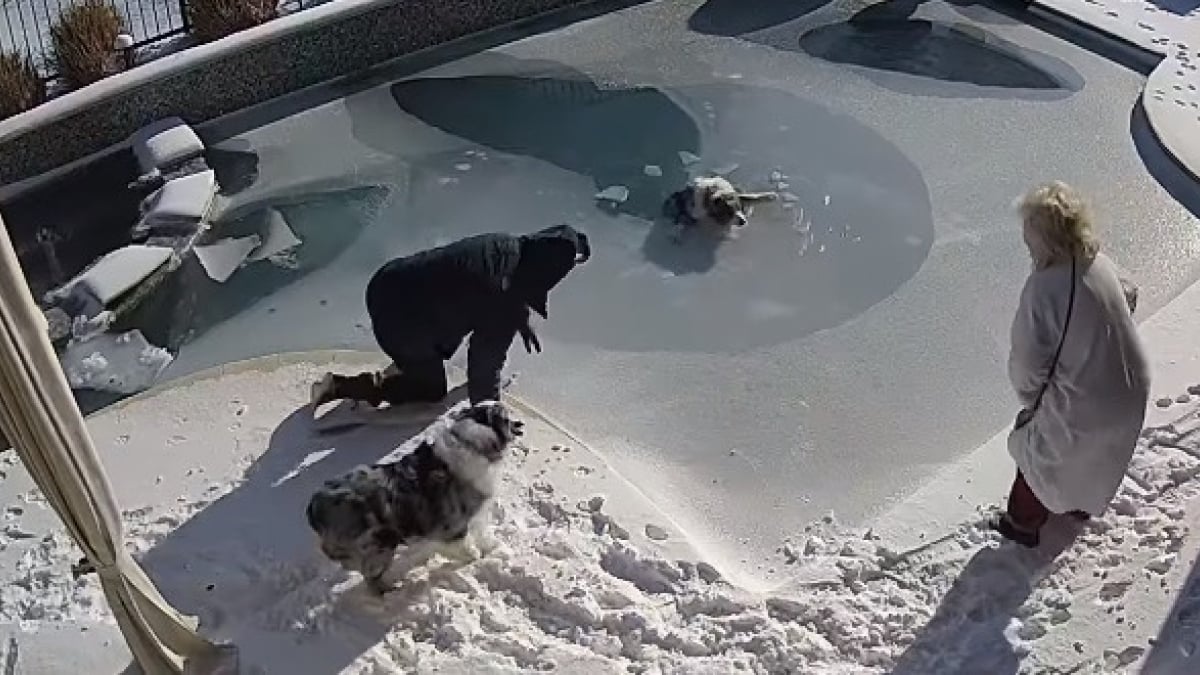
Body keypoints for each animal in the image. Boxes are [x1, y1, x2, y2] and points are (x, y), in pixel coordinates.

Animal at [304, 398, 520, 588]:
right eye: (506, 417)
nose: (520, 423)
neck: (473, 443)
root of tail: (314, 507)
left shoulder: (476, 514)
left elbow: (482, 533)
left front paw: (492, 547)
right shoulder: (453, 525)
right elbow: (465, 546)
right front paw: (474, 558)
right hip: (378, 545)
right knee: (371, 578)